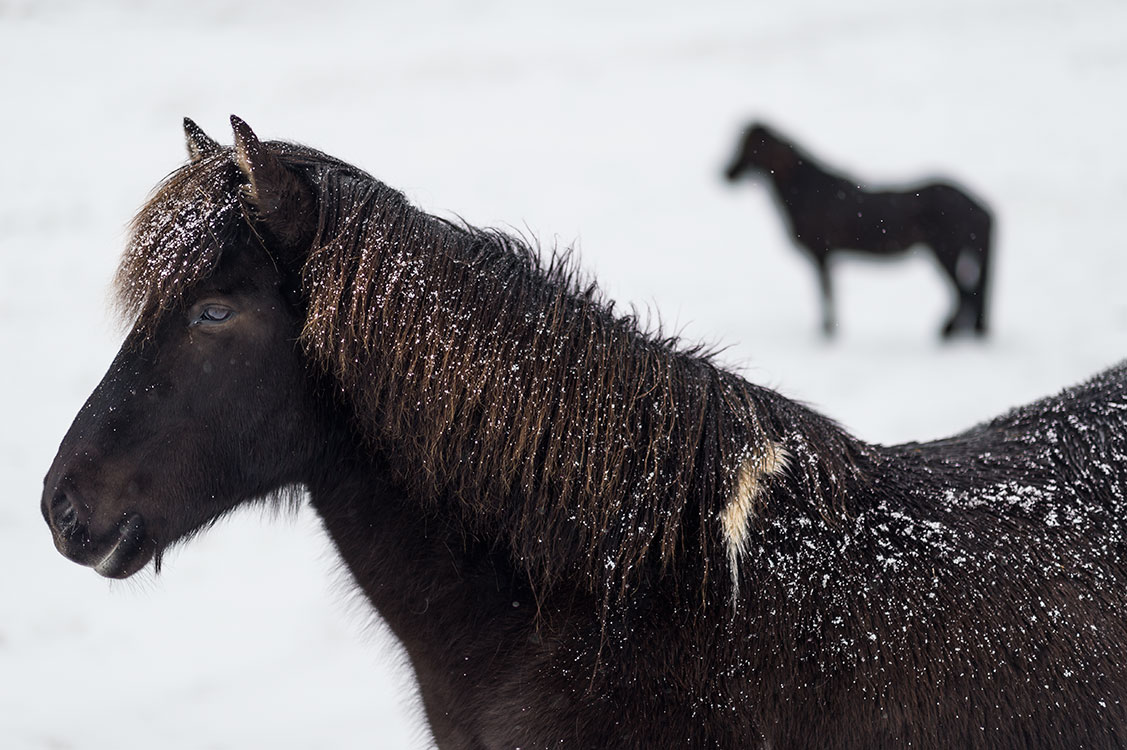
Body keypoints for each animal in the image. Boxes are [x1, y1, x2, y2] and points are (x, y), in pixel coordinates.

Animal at [721, 122, 996, 336]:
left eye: (751, 146)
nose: (726, 174)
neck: (808, 191)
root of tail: (979, 206)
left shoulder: (821, 253)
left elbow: (826, 295)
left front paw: (828, 333)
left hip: (946, 252)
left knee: (966, 295)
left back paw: (945, 332)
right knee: (968, 296)